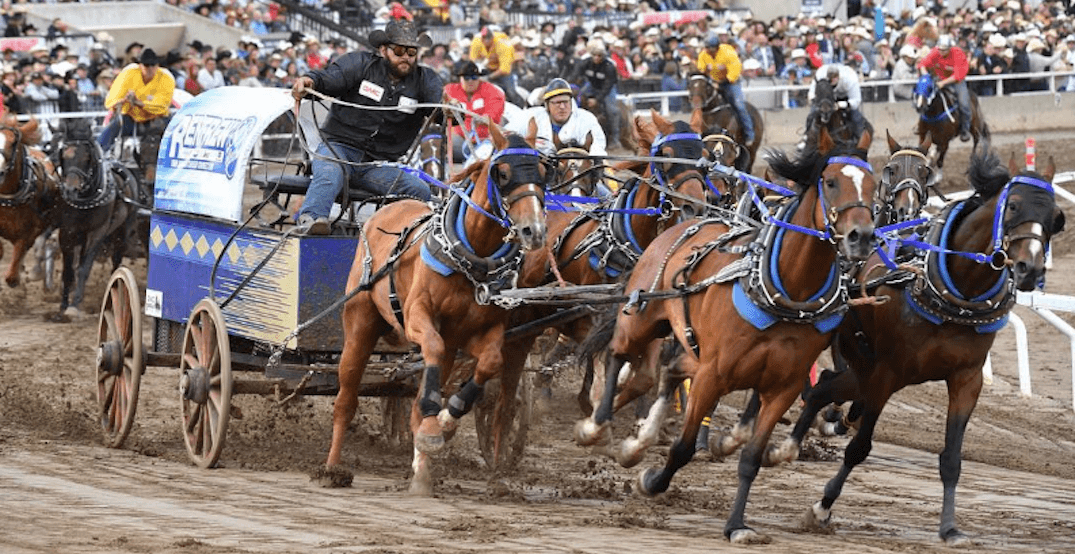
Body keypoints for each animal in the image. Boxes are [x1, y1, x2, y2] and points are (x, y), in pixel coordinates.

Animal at [53, 118, 142, 314]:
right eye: (64, 156)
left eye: (87, 158)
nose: (70, 190)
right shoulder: (67, 232)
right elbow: (68, 271)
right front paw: (63, 305)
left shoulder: (97, 233)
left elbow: (84, 269)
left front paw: (75, 305)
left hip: (123, 231)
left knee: (116, 259)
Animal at [316, 124, 550, 494]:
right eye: (502, 173)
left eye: (543, 171)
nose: (535, 231)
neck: (472, 256)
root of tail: (384, 210)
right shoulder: (418, 318)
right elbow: (432, 353)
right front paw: (431, 423)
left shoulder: (481, 332)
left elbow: (490, 363)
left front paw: (444, 420)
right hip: (359, 325)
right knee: (346, 398)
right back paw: (332, 468)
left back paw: (421, 471)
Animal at [576, 126, 877, 546]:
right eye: (831, 182)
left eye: (874, 184)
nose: (861, 236)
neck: (785, 291)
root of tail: (691, 221)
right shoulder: (713, 374)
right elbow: (684, 447)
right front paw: (652, 481)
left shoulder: (782, 387)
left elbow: (751, 458)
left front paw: (737, 525)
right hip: (642, 317)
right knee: (619, 354)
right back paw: (597, 423)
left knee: (668, 369)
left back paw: (639, 438)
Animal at [769, 144, 1062, 546]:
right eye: (1014, 206)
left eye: (1055, 216)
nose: (1029, 269)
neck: (954, 292)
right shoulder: (887, 373)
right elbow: (859, 449)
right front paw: (823, 507)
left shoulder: (966, 379)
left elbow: (952, 459)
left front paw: (950, 528)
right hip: (862, 365)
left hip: (860, 368)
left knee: (824, 387)